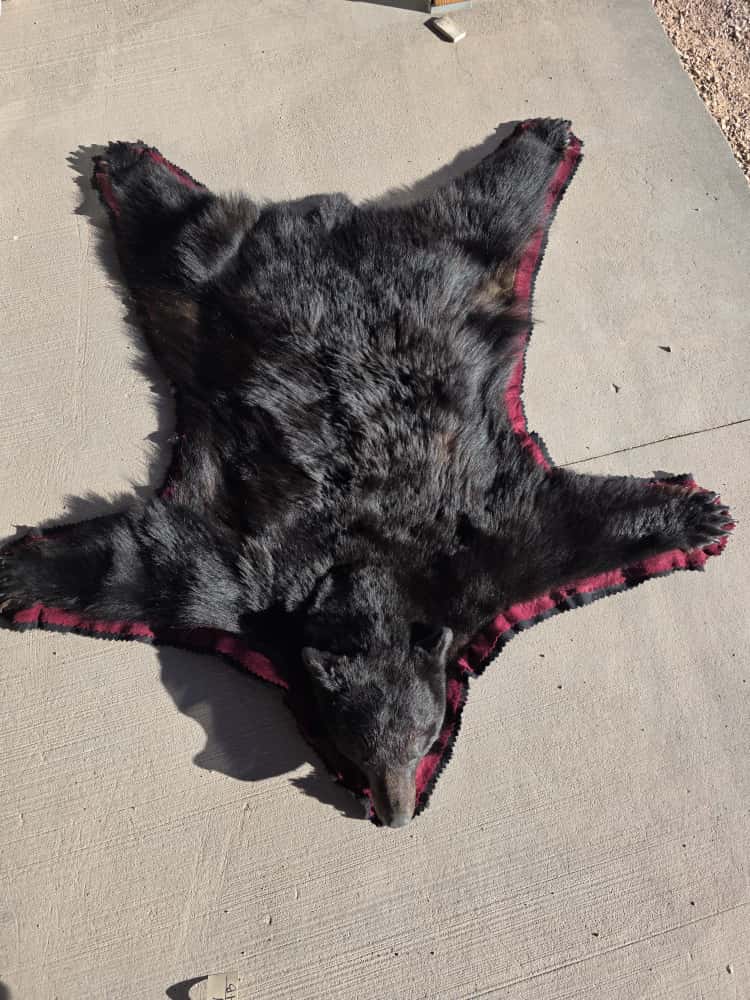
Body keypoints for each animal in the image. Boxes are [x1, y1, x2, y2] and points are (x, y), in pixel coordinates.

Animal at [0, 119, 732, 827]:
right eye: (354, 746)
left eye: (427, 736)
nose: (397, 814)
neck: (365, 569)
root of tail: (330, 224)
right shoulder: (234, 572)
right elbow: (135, 564)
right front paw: (19, 571)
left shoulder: (494, 543)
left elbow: (572, 528)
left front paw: (701, 514)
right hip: (208, 285)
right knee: (176, 233)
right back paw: (129, 165)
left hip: (467, 260)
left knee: (497, 205)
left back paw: (544, 140)